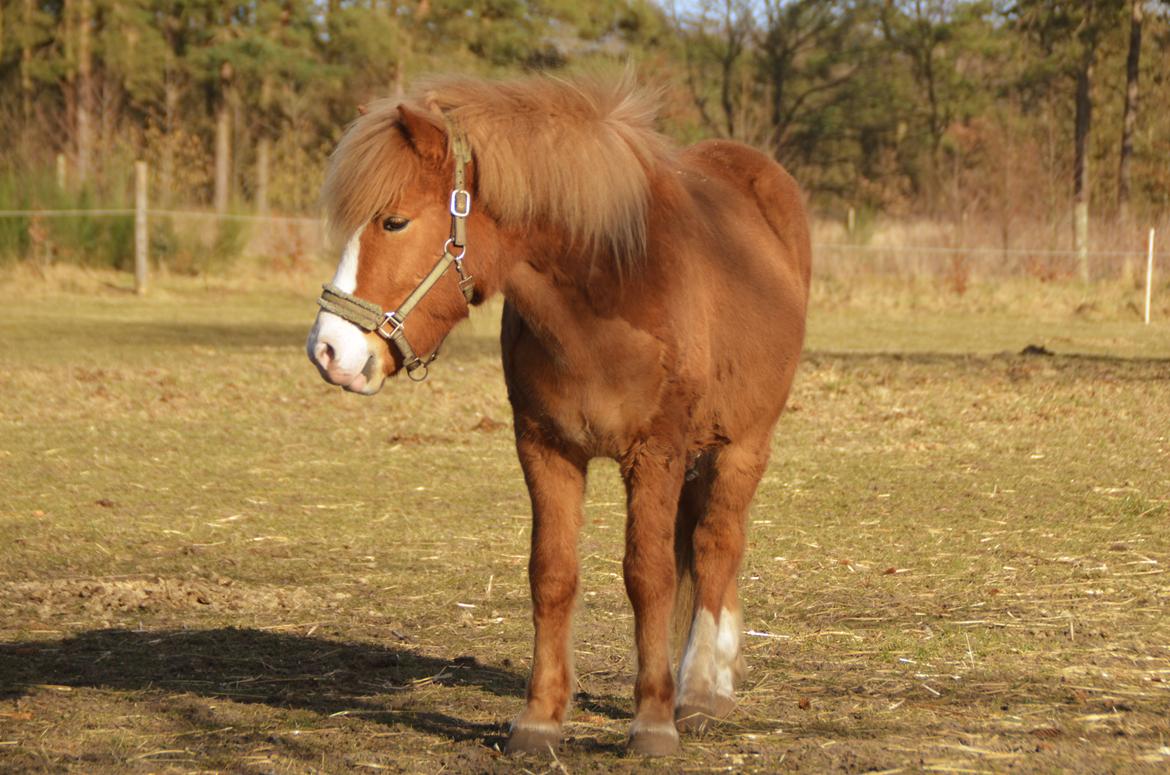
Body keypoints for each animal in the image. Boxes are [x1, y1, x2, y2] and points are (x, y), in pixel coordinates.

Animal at [306, 74, 809, 758]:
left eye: (394, 220)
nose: (328, 350)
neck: (607, 289)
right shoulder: (545, 448)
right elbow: (552, 574)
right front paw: (540, 721)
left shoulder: (655, 452)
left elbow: (649, 575)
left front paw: (653, 722)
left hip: (744, 444)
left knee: (716, 547)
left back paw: (703, 690)